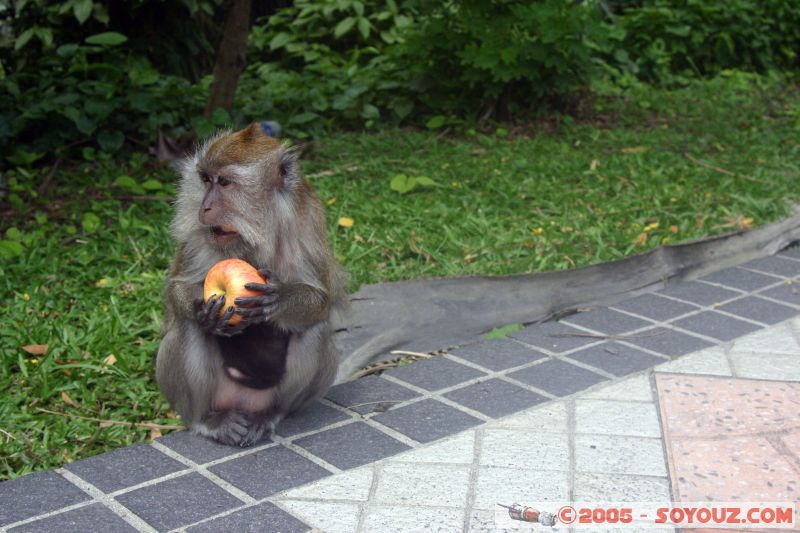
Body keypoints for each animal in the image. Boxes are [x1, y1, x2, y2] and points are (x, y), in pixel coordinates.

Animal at [155, 122, 347, 446]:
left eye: (224, 182)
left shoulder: (306, 219)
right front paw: (202, 310)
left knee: (314, 330)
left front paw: (278, 299)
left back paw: (270, 415)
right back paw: (207, 421)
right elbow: (176, 289)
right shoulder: (197, 234)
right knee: (186, 328)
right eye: (205, 179)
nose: (204, 208)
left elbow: (321, 300)